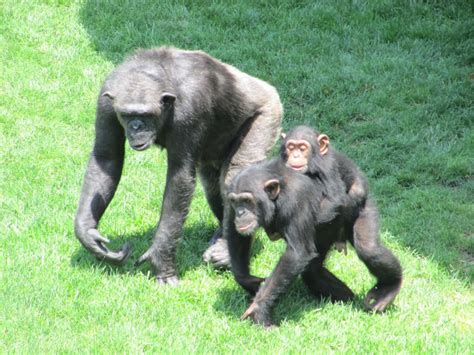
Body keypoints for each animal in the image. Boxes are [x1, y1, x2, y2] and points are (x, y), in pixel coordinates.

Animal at [74, 46, 282, 284]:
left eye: (145, 115)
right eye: (126, 115)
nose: (136, 127)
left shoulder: (190, 109)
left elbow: (179, 177)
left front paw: (160, 261)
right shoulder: (106, 103)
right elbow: (106, 157)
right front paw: (88, 233)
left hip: (267, 115)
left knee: (233, 176)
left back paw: (226, 251)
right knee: (212, 184)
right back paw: (222, 236)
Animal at [228, 159, 402, 328]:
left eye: (247, 201)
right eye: (236, 202)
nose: (240, 213)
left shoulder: (296, 200)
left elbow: (296, 253)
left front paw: (259, 310)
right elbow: (236, 234)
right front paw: (250, 282)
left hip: (362, 204)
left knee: (369, 250)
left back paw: (388, 289)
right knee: (312, 270)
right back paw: (346, 298)